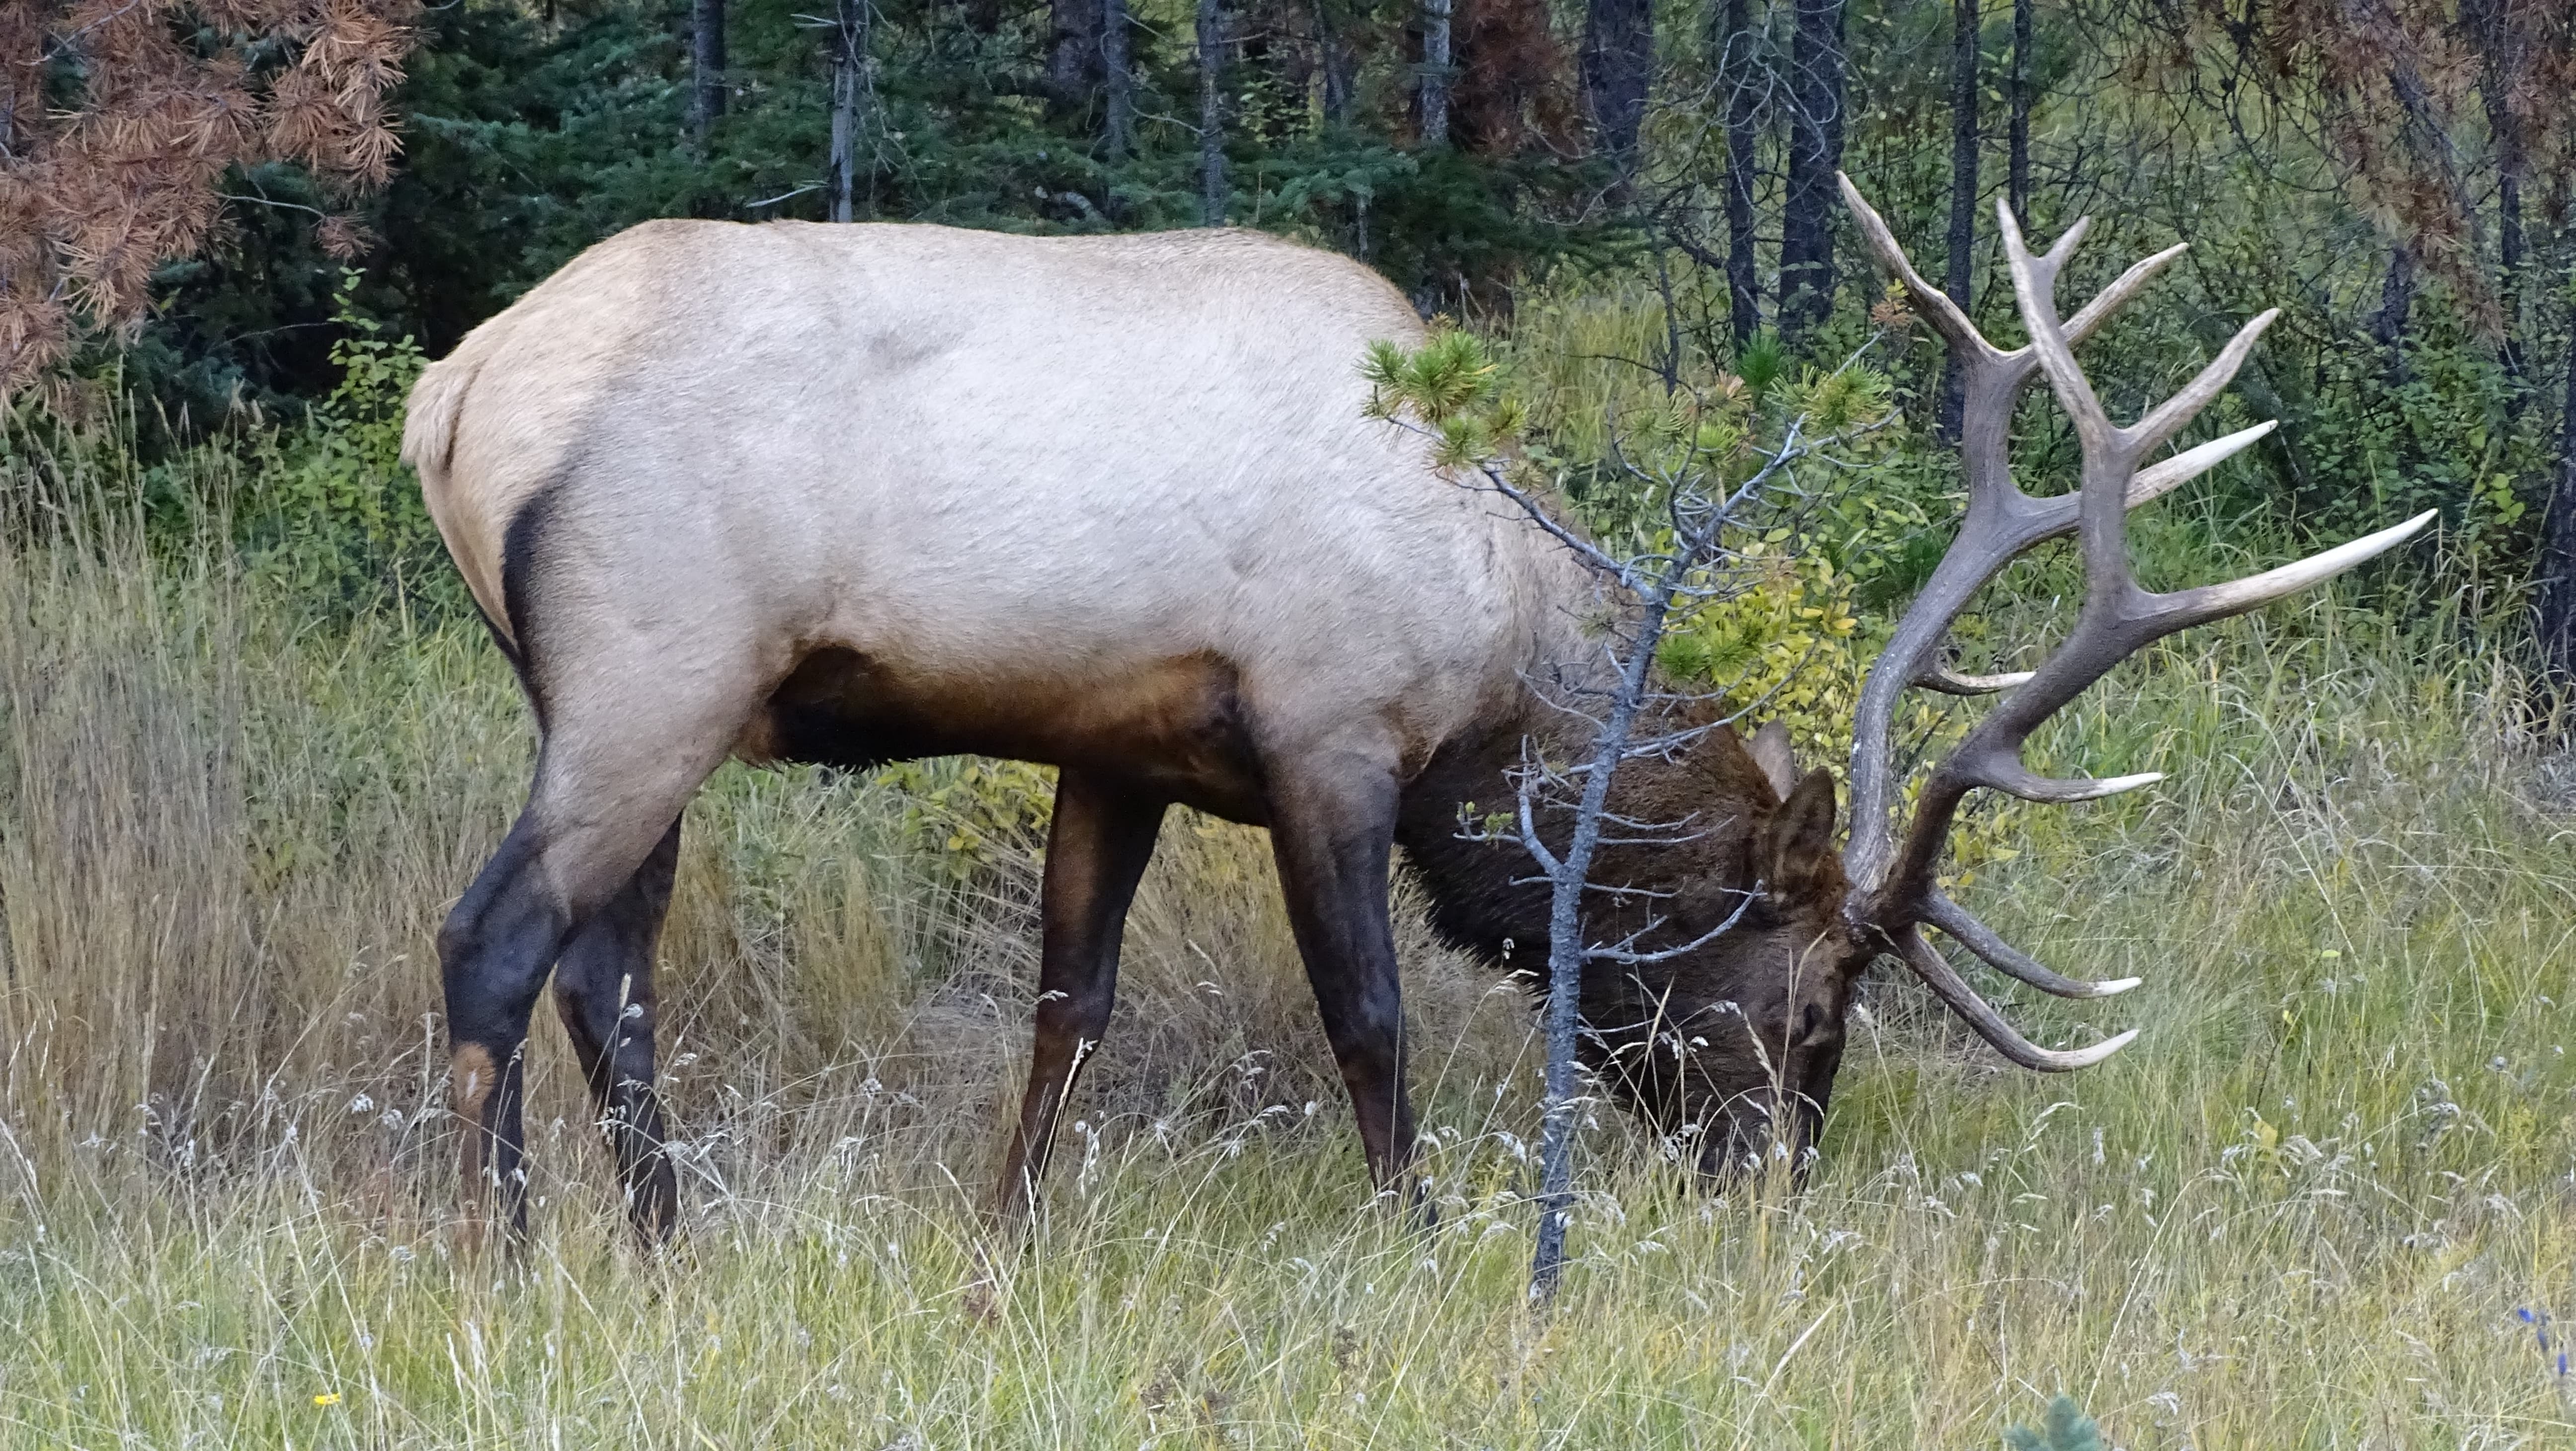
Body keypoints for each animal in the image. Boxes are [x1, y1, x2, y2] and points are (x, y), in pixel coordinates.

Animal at [391, 172, 2421, 1237]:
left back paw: (668, 1234)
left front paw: (1009, 1224)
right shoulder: (1326, 732)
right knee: (496, 935)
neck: (1500, 641)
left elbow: (1068, 1006)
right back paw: (498, 1250)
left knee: (606, 960)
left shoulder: (1113, 744)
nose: (1773, 1189)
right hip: (651, 665)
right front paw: (1422, 1230)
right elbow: (1367, 1016)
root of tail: (455, 389)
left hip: (653, 702)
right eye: (1811, 997)